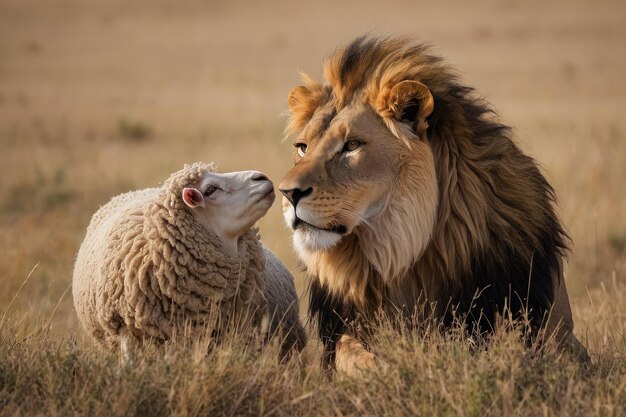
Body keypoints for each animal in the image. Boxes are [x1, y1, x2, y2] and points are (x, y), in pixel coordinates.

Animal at [276, 36, 588, 374]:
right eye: (302, 147)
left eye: (352, 145)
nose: (288, 193)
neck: (400, 256)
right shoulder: (342, 332)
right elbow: (353, 352)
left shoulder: (556, 335)